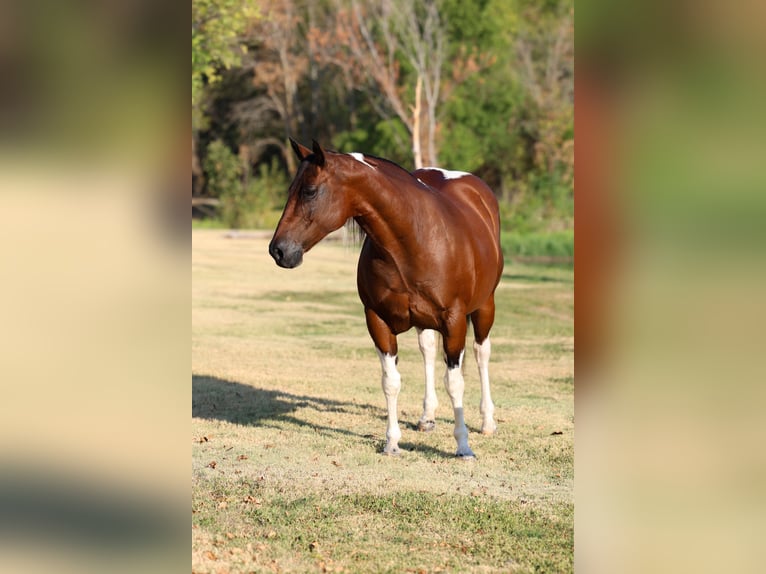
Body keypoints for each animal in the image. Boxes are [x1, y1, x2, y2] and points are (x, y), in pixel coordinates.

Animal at [269, 139, 504, 458]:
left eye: (310, 191)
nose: (278, 250)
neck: (411, 241)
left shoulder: (454, 321)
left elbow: (455, 383)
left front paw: (463, 446)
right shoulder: (377, 320)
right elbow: (391, 382)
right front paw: (392, 443)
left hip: (484, 306)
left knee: (482, 354)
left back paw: (487, 421)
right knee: (428, 350)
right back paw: (427, 417)